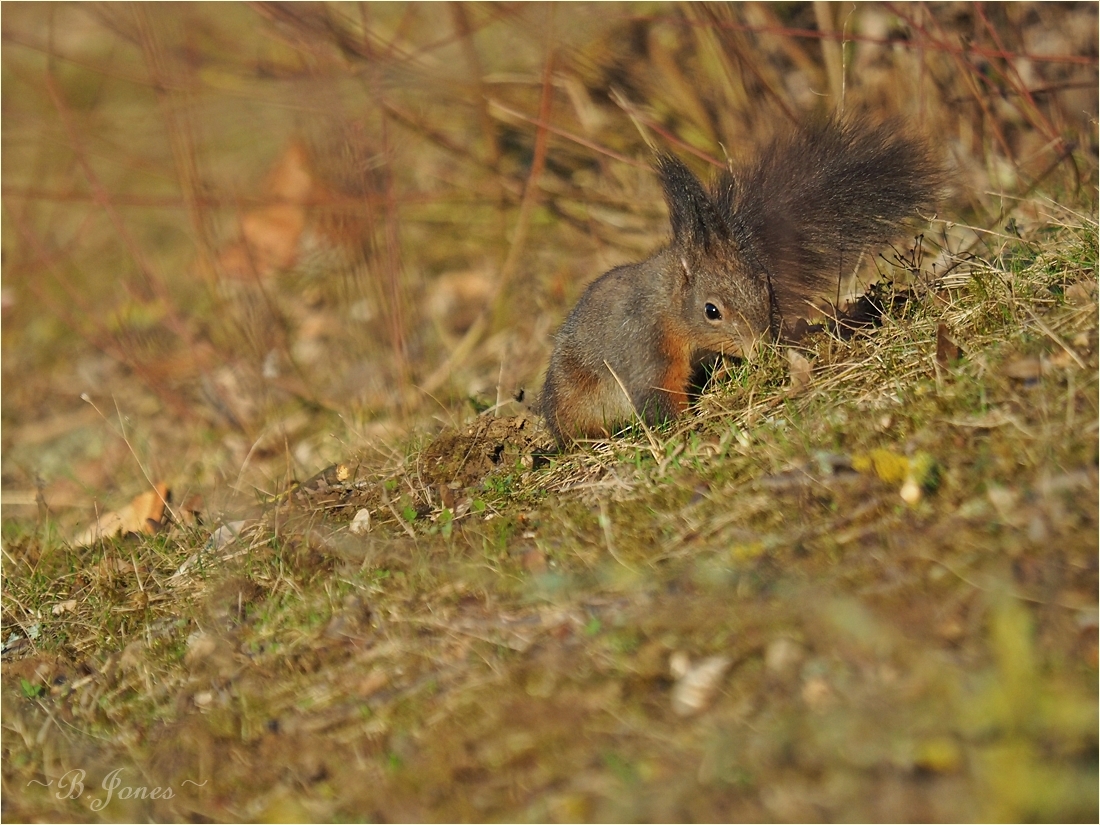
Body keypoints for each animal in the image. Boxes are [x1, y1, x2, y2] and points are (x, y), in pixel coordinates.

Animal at [536, 116, 941, 446]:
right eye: (711, 311)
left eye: (766, 287)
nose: (760, 348)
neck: (670, 310)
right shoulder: (645, 348)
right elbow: (657, 396)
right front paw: (687, 426)